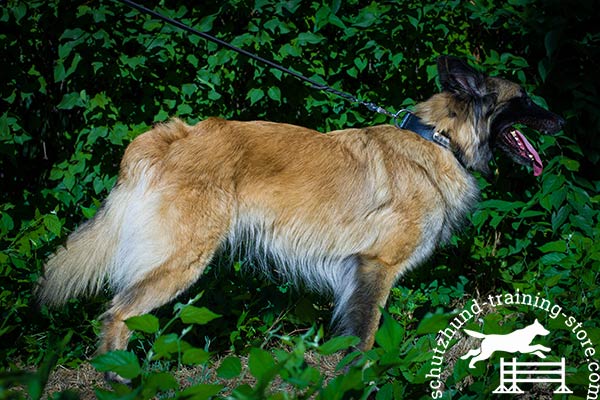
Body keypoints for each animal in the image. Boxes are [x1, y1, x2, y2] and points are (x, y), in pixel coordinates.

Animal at [37, 55, 564, 360]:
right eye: (524, 99)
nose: (562, 121)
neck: (439, 140)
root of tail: (171, 136)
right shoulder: (375, 266)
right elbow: (365, 337)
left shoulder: (355, 272)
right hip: (181, 260)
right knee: (118, 313)